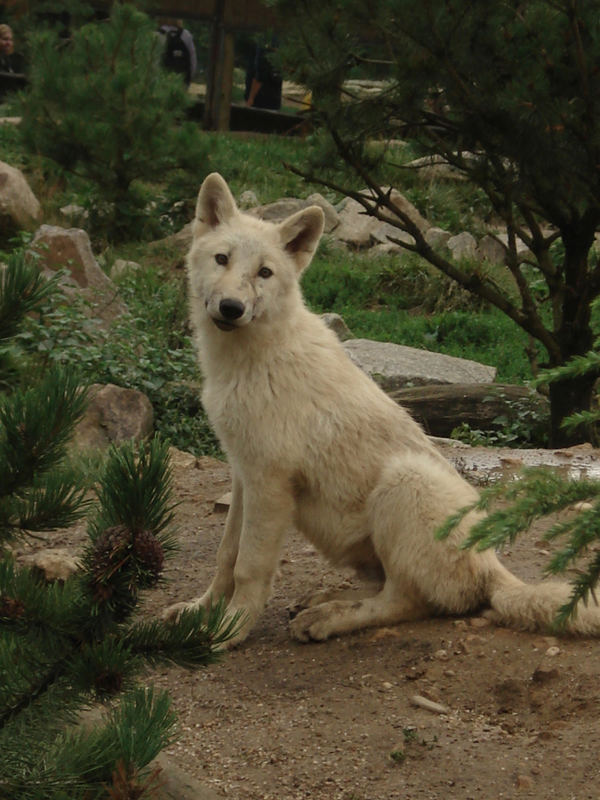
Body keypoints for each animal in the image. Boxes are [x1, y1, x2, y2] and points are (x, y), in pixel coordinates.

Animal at [164, 172, 600, 648]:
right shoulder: (244, 472)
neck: (252, 362)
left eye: (264, 273)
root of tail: (495, 572)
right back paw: (323, 599)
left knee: (406, 601)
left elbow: (249, 566)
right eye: (221, 259)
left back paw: (328, 617)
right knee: (384, 588)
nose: (231, 308)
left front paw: (229, 631)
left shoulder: (269, 482)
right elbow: (226, 555)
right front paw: (199, 612)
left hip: (404, 480)